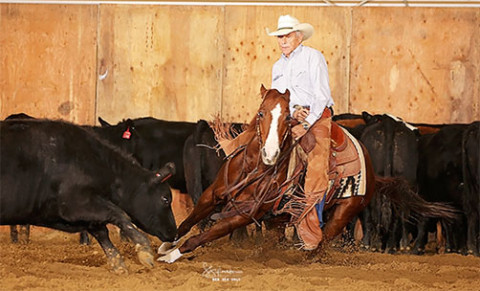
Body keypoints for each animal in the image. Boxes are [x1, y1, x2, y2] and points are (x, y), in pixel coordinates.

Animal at [0, 119, 177, 274]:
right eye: (165, 199)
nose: (174, 233)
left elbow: (101, 230)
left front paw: (118, 265)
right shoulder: (75, 204)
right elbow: (119, 214)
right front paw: (144, 250)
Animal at [159, 85, 376, 264]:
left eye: (287, 117)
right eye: (261, 113)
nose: (270, 153)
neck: (253, 169)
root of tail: (364, 152)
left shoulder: (245, 214)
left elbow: (203, 236)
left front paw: (171, 256)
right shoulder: (212, 194)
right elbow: (187, 223)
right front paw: (166, 244)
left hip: (343, 213)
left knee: (321, 242)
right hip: (278, 220)